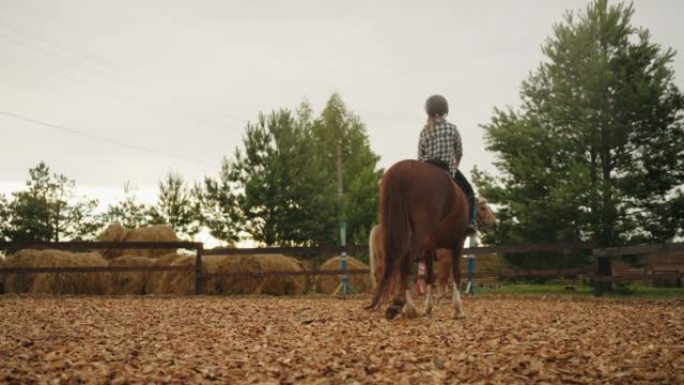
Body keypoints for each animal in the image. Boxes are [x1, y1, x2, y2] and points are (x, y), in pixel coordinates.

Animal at [368, 159, 496, 318]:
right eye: (483, 208)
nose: (495, 223)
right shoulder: (452, 250)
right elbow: (449, 276)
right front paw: (454, 306)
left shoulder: (432, 252)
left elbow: (434, 277)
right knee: (391, 272)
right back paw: (396, 303)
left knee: (394, 273)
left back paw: (394, 303)